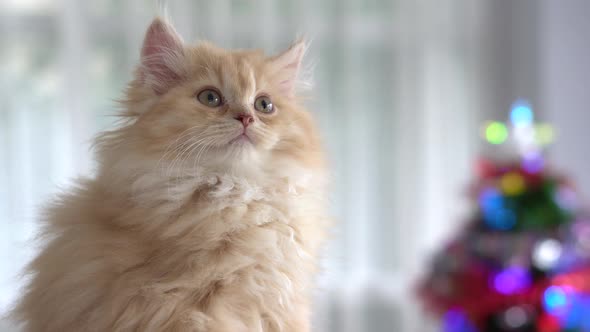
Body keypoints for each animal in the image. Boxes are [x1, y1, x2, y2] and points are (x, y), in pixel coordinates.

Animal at [13, 18, 330, 332]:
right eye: (210, 98)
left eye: (264, 105)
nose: (246, 118)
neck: (235, 194)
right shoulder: (183, 309)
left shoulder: (281, 305)